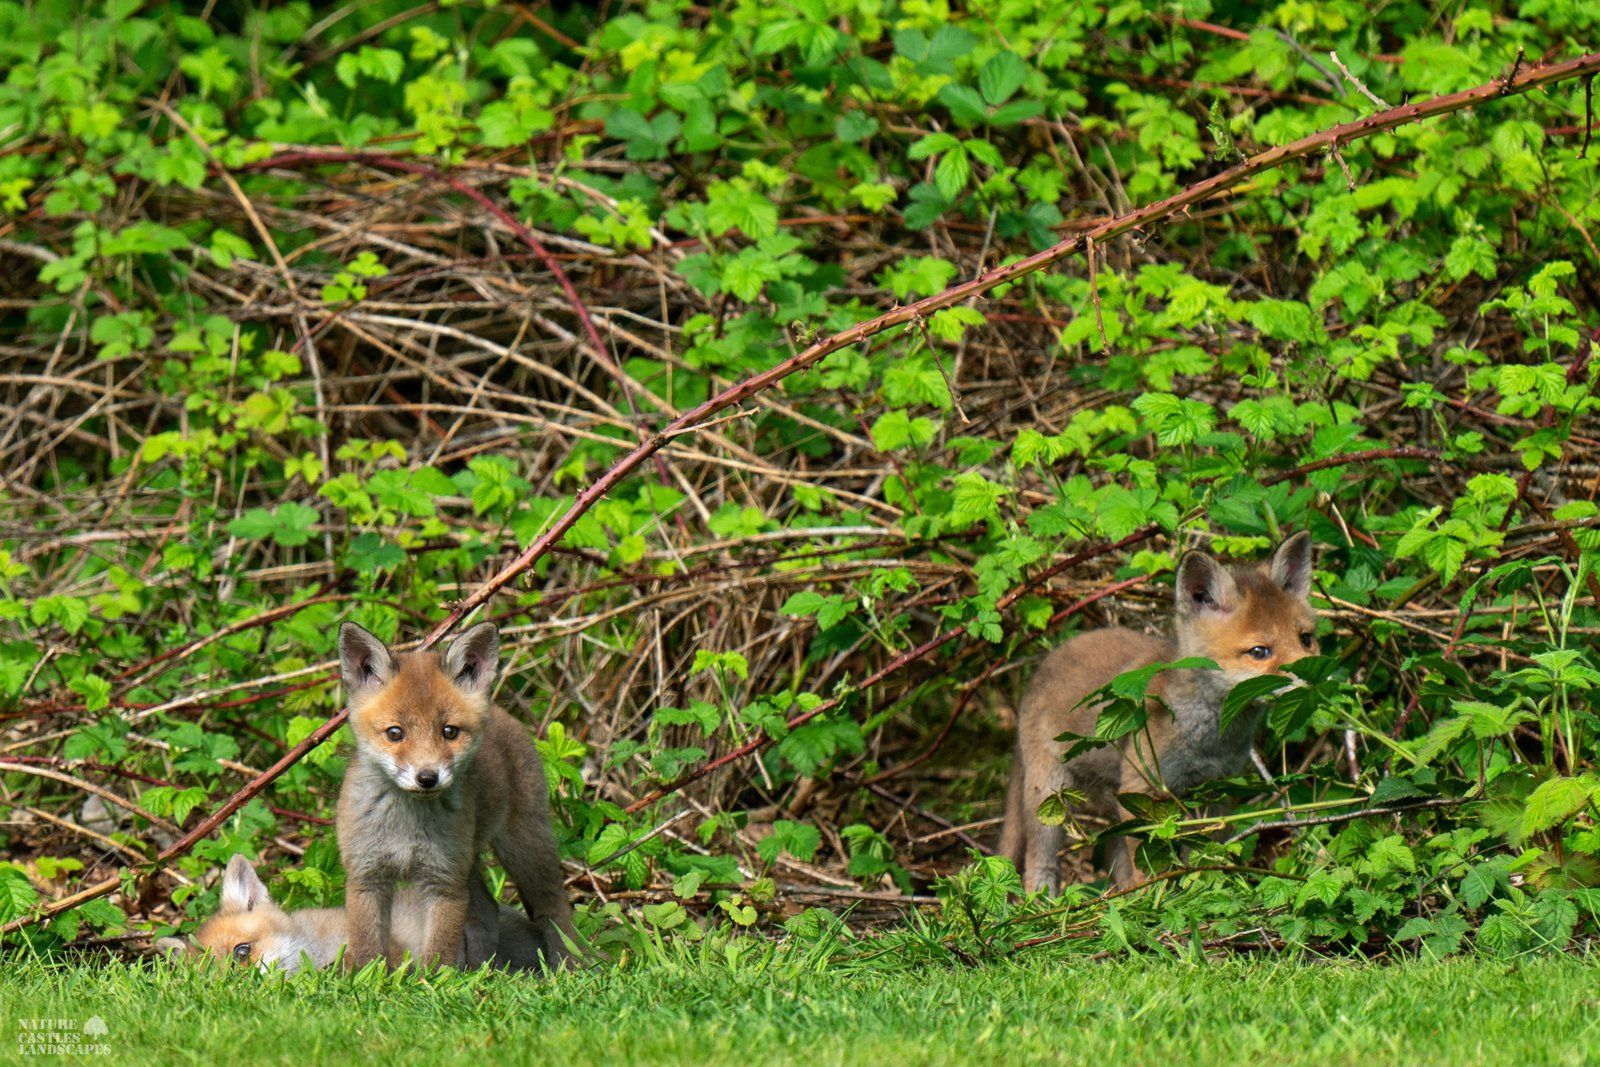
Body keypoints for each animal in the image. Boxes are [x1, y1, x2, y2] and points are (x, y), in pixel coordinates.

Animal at [336, 620, 578, 970]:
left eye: (449, 732)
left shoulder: (444, 882)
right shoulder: (366, 876)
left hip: (524, 849)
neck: (405, 826)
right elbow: (367, 948)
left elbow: (437, 952)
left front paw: (431, 981)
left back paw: (569, 965)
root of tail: (504, 713)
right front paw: (363, 977)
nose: (427, 778)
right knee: (488, 911)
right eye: (395, 733)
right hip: (470, 862)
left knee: (554, 908)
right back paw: (480, 970)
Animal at [998, 532, 1316, 894]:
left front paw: (1199, 891)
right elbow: (1147, 864)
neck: (1207, 740)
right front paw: (1153, 899)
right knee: (1039, 861)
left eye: (1306, 639)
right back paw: (1045, 900)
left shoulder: (1216, 790)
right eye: (1259, 652)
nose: (1314, 676)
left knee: (1116, 856)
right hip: (1051, 797)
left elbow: (1204, 854)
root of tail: (1043, 664)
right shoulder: (1145, 789)